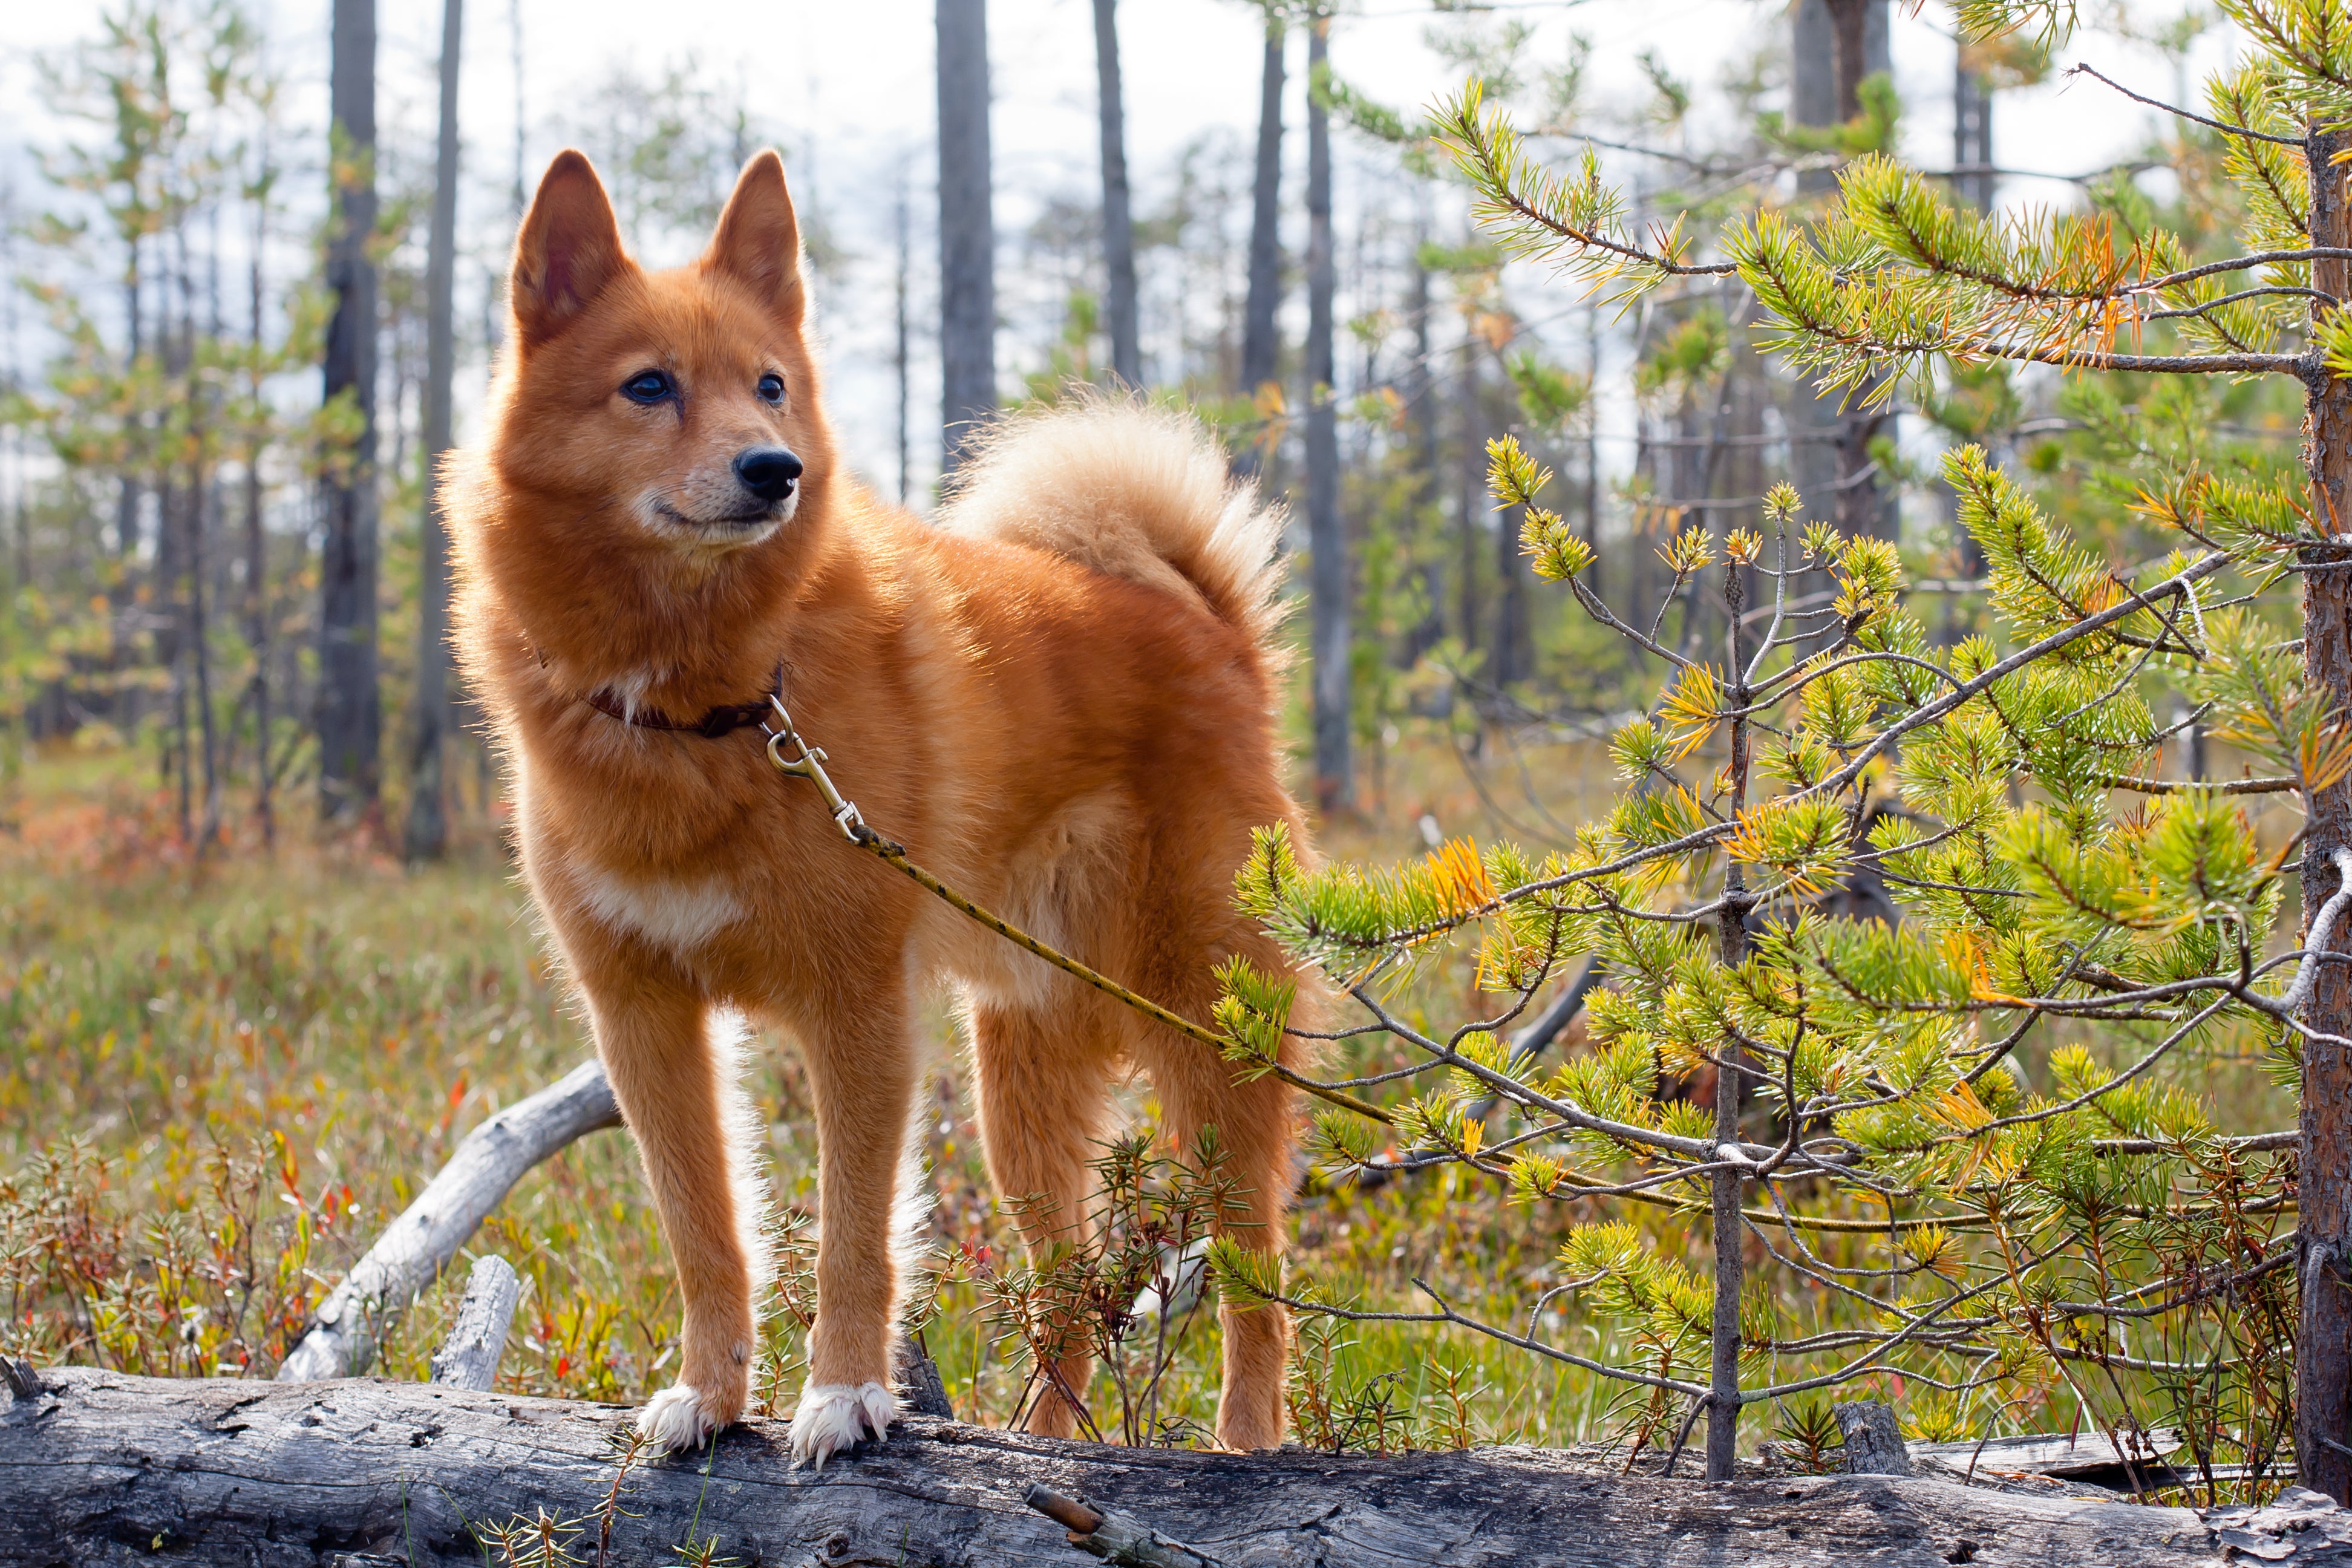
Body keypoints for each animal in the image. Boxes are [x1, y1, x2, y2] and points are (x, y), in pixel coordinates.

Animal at [449, 152, 1317, 1466]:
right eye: (648, 386)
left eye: (770, 385)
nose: (776, 469)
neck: (713, 704)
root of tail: (1206, 629)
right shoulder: (645, 1021)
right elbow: (706, 1234)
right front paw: (708, 1394)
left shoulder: (854, 1012)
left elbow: (856, 1236)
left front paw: (845, 1394)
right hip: (1023, 1088)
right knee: (1066, 1294)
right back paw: (1043, 1443)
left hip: (1205, 1038)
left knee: (1258, 1277)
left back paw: (1247, 1443)